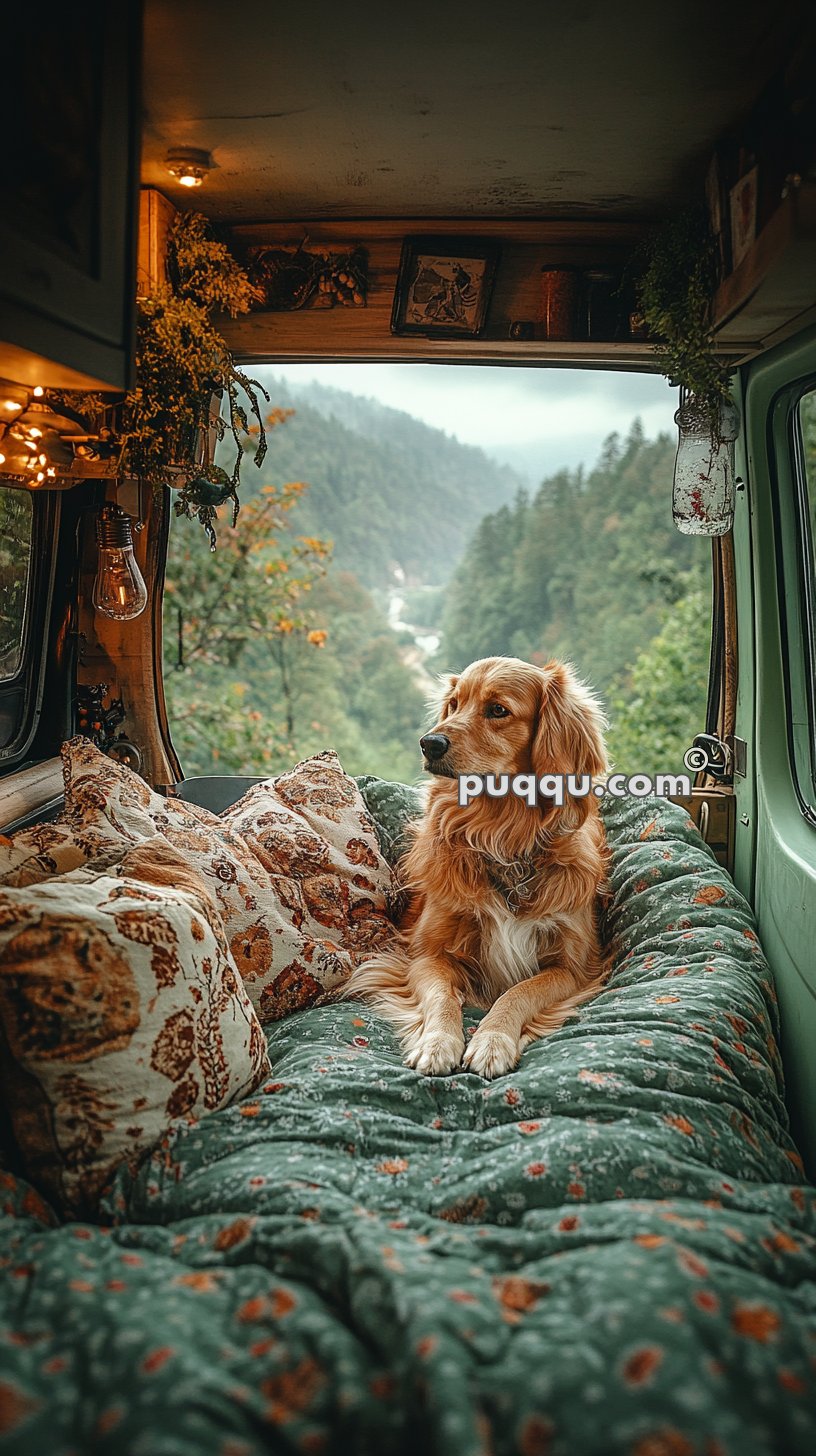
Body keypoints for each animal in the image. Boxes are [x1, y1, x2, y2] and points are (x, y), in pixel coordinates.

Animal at [340, 655, 609, 1077]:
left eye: (498, 710)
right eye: (454, 704)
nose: (429, 743)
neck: (500, 834)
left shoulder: (573, 968)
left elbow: (518, 992)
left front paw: (493, 1039)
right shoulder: (425, 955)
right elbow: (441, 996)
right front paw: (438, 1042)